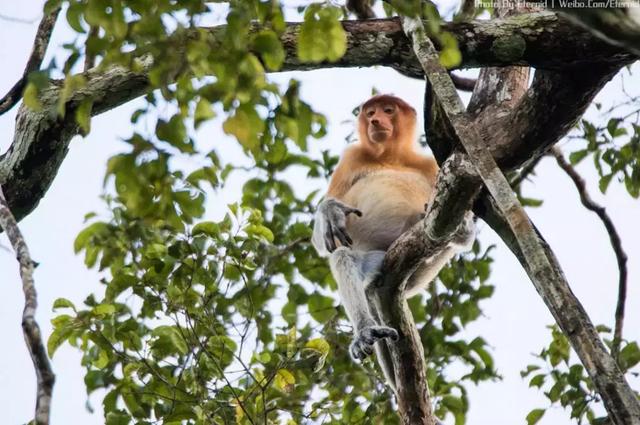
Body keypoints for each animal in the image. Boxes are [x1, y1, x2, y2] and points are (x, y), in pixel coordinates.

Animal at [312, 93, 472, 388]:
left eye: (388, 110)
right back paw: (365, 332)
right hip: (376, 261)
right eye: (371, 112)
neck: (389, 156)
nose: (375, 121)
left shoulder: (430, 165)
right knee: (344, 258)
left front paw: (462, 228)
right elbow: (321, 240)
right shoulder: (351, 158)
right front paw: (330, 211)